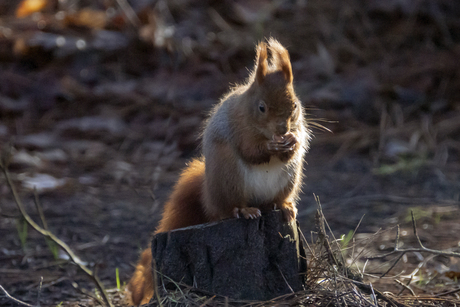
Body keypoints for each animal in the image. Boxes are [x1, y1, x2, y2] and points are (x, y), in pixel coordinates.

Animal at [126, 38, 310, 306]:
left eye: (295, 104)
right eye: (261, 107)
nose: (282, 129)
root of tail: (208, 197)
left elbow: (294, 144)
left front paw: (292, 142)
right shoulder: (238, 128)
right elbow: (251, 151)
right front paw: (270, 147)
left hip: (290, 177)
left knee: (274, 200)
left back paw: (284, 206)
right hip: (228, 176)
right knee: (227, 209)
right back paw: (244, 211)